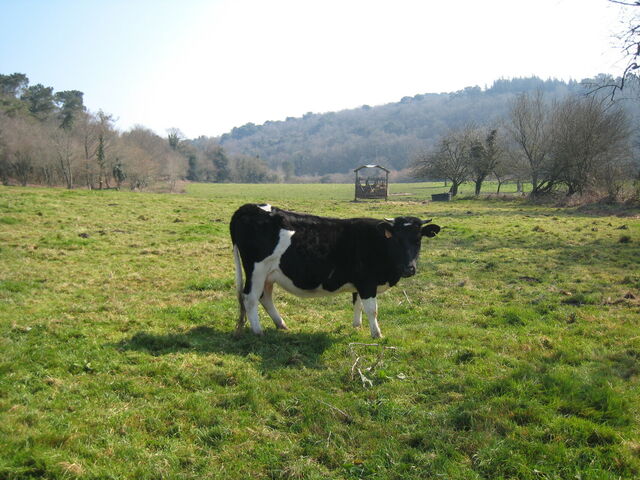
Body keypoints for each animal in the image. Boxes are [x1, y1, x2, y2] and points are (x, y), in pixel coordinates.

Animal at [230, 203, 440, 338]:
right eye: (396, 239)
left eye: (418, 239)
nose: (409, 268)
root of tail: (249, 207)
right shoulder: (367, 283)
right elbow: (372, 309)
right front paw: (377, 334)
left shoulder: (359, 283)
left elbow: (358, 304)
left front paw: (357, 327)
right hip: (256, 270)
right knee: (250, 298)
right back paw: (258, 331)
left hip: (269, 275)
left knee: (265, 297)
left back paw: (281, 324)